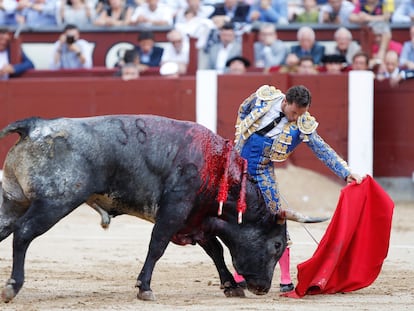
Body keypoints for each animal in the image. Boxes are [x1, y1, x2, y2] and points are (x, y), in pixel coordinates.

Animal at [0, 114, 324, 302]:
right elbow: (157, 245)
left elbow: (216, 251)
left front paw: (231, 285)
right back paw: (13, 286)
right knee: (24, 233)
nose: (263, 287)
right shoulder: (176, 210)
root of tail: (35, 126)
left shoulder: (197, 219)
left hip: (13, 201)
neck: (219, 172)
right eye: (277, 244)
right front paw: (144, 288)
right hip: (56, 201)